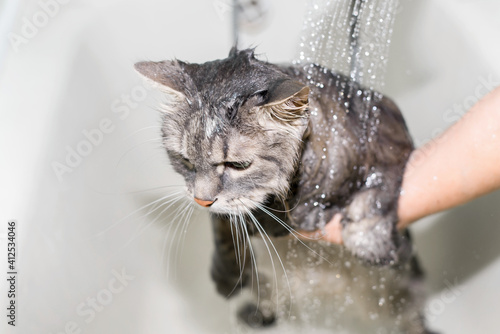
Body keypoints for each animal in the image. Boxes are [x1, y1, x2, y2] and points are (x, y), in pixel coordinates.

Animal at [134, 48, 434, 332]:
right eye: (185, 161)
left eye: (237, 165)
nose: (201, 200)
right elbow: (225, 230)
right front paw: (226, 274)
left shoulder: (392, 141)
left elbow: (374, 197)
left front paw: (374, 243)